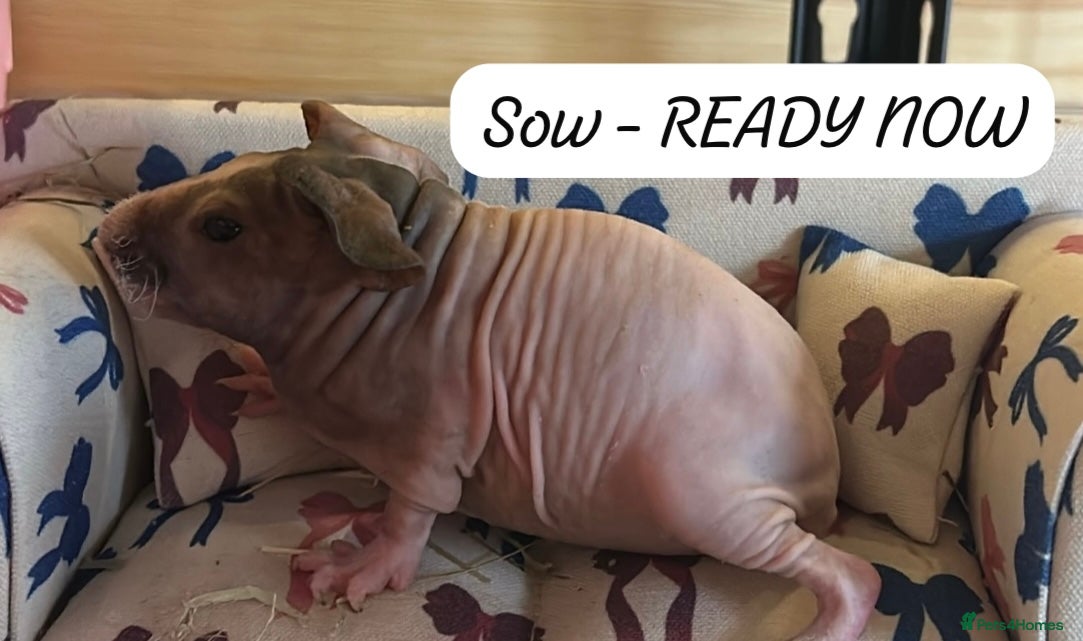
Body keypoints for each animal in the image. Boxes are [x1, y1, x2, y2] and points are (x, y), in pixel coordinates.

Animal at [93, 101, 880, 641]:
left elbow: (413, 510)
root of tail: (828, 482)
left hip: (699, 491)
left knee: (857, 575)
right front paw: (257, 380)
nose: (104, 229)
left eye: (221, 227)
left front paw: (363, 564)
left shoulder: (435, 432)